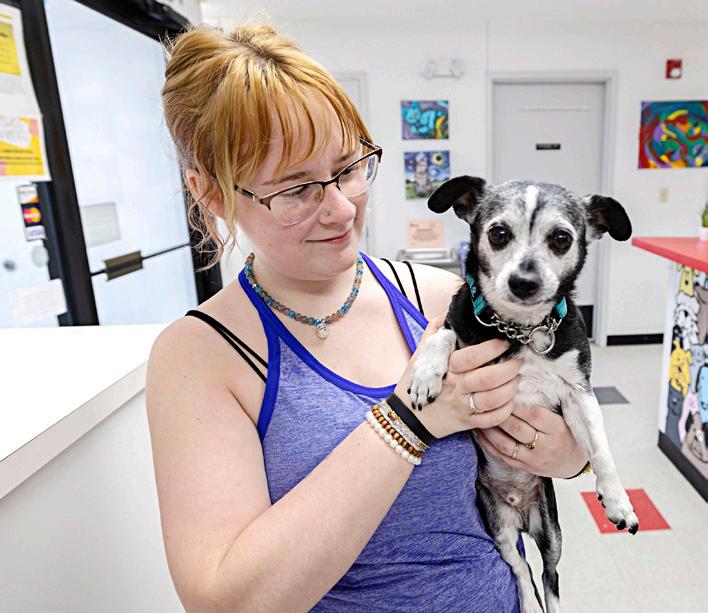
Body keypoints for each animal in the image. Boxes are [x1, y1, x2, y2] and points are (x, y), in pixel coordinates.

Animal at [407, 176, 638, 613]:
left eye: (561, 239)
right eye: (498, 233)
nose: (524, 282)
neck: (522, 329)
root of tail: (519, 511)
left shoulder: (579, 393)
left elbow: (600, 448)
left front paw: (618, 500)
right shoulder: (457, 323)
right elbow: (442, 334)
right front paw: (425, 372)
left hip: (552, 532)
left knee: (549, 574)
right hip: (497, 526)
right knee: (519, 566)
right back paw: (527, 602)